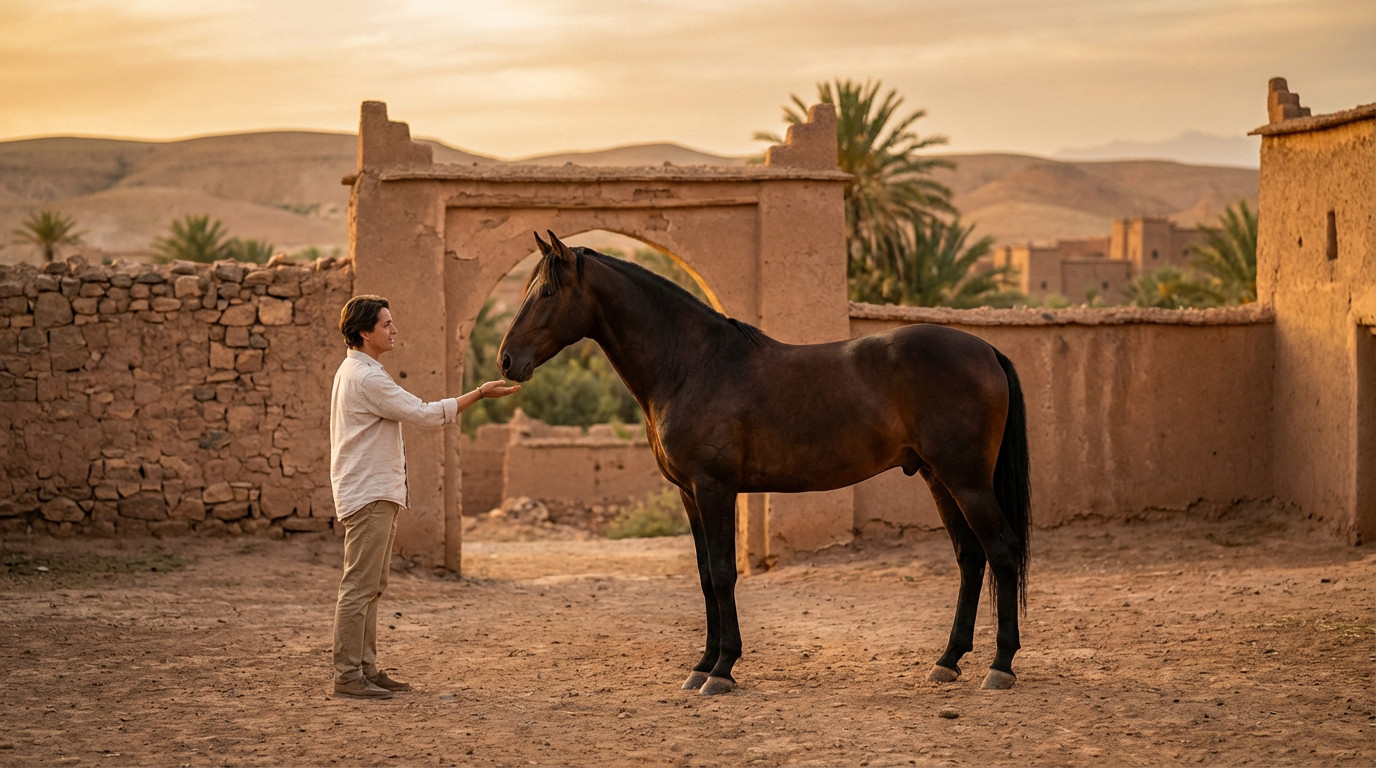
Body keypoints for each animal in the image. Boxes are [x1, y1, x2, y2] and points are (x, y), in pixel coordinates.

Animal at [498, 231, 1031, 696]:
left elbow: (722, 573)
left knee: (1001, 550)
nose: (506, 361)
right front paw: (702, 666)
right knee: (970, 557)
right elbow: (704, 575)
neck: (693, 365)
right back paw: (948, 660)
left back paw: (1000, 666)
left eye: (546, 291)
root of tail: (987, 349)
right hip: (938, 478)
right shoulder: (689, 493)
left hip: (967, 481)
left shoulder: (715, 488)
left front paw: (722, 670)